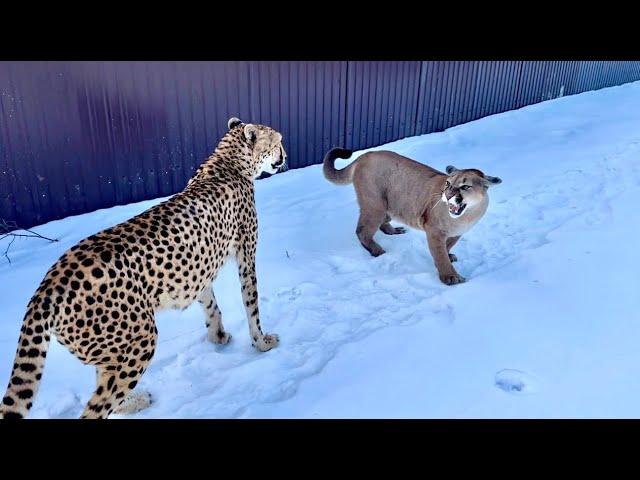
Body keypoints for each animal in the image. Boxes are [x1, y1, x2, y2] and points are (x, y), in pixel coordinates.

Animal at [0, 118, 284, 418]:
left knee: (105, 385)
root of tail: (49, 284)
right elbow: (251, 303)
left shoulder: (199, 269)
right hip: (140, 340)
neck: (228, 160)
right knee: (95, 408)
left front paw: (217, 336)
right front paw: (262, 342)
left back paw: (132, 402)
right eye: (278, 142)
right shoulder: (245, 254)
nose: (284, 156)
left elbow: (209, 303)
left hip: (110, 350)